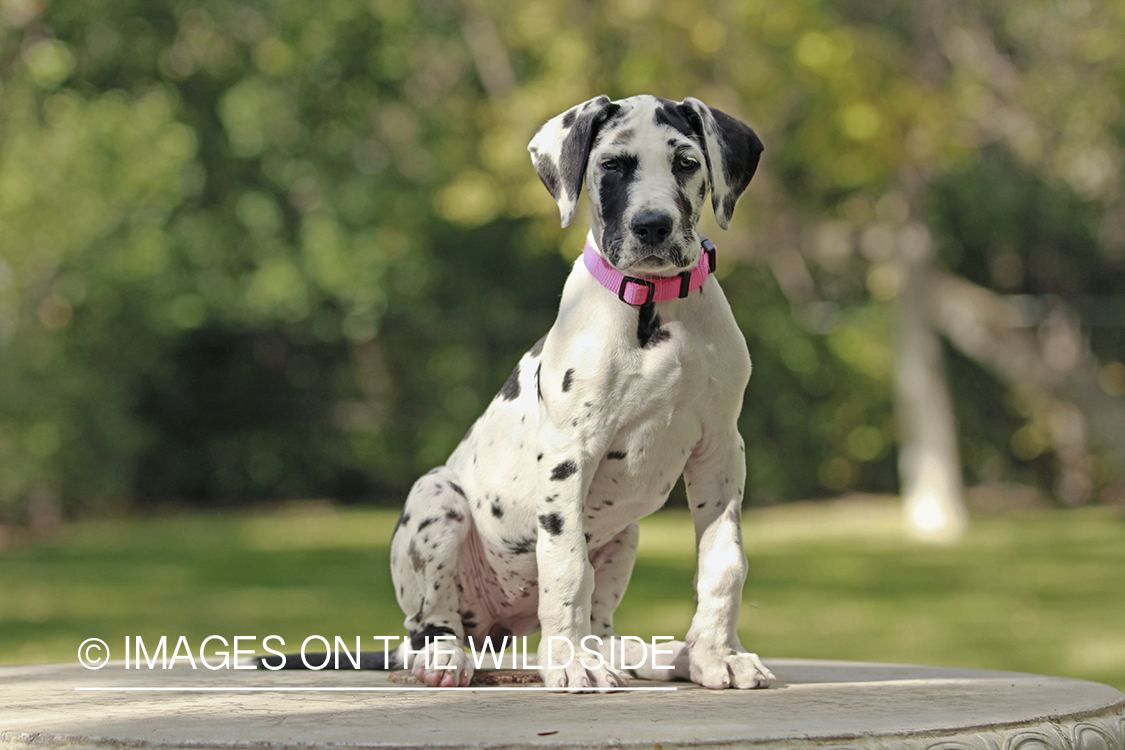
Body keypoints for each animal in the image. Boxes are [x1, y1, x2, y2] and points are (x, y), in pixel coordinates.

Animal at [265, 93, 774, 692]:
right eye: (612, 165)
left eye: (687, 163)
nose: (653, 226)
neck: (656, 307)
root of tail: (495, 627)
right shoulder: (569, 456)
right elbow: (567, 566)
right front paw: (570, 665)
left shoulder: (720, 451)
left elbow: (724, 562)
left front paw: (717, 654)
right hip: (437, 501)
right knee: (428, 623)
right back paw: (450, 657)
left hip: (625, 535)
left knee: (601, 623)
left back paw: (648, 654)